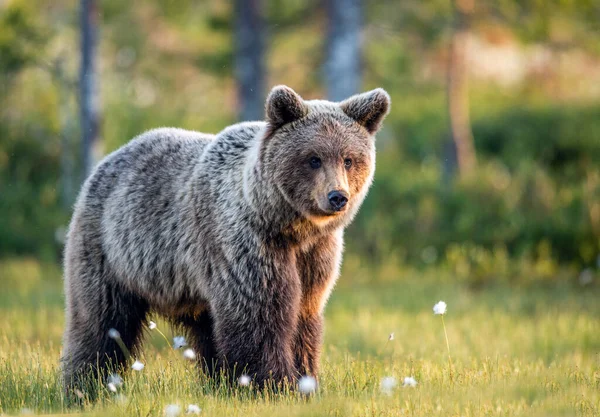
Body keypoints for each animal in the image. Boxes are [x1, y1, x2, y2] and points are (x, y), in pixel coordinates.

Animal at [59, 85, 390, 394]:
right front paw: (274, 384)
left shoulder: (314, 256)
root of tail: (109, 159)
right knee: (102, 321)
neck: (286, 225)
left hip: (190, 286)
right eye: (313, 159)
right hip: (111, 249)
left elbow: (303, 314)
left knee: (206, 329)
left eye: (349, 159)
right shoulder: (248, 244)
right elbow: (259, 315)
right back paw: (86, 384)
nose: (337, 197)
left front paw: (305, 382)